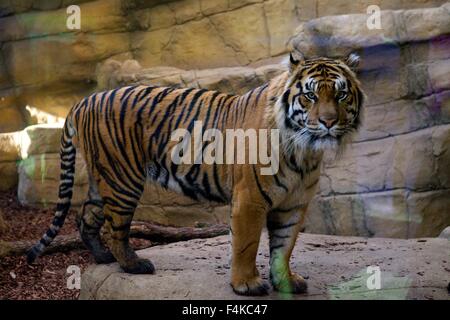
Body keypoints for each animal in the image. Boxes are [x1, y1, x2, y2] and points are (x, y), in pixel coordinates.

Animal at [26, 48, 364, 296]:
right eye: (310, 95)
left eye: (341, 95)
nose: (329, 122)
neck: (303, 151)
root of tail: (85, 99)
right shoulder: (249, 199)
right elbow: (246, 244)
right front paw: (246, 284)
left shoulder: (294, 203)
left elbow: (284, 246)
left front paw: (286, 282)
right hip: (123, 179)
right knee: (114, 229)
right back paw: (134, 265)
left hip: (104, 177)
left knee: (86, 216)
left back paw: (102, 257)